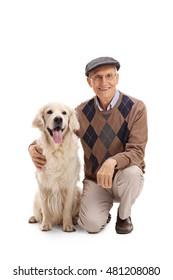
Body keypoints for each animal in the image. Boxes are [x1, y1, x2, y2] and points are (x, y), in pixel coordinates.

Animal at [28, 102, 81, 232]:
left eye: (64, 113)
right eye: (49, 112)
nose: (58, 119)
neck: (56, 150)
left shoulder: (70, 184)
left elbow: (67, 208)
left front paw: (68, 225)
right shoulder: (42, 184)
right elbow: (45, 208)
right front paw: (46, 224)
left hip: (78, 191)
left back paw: (74, 220)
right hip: (36, 196)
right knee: (38, 213)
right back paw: (34, 218)